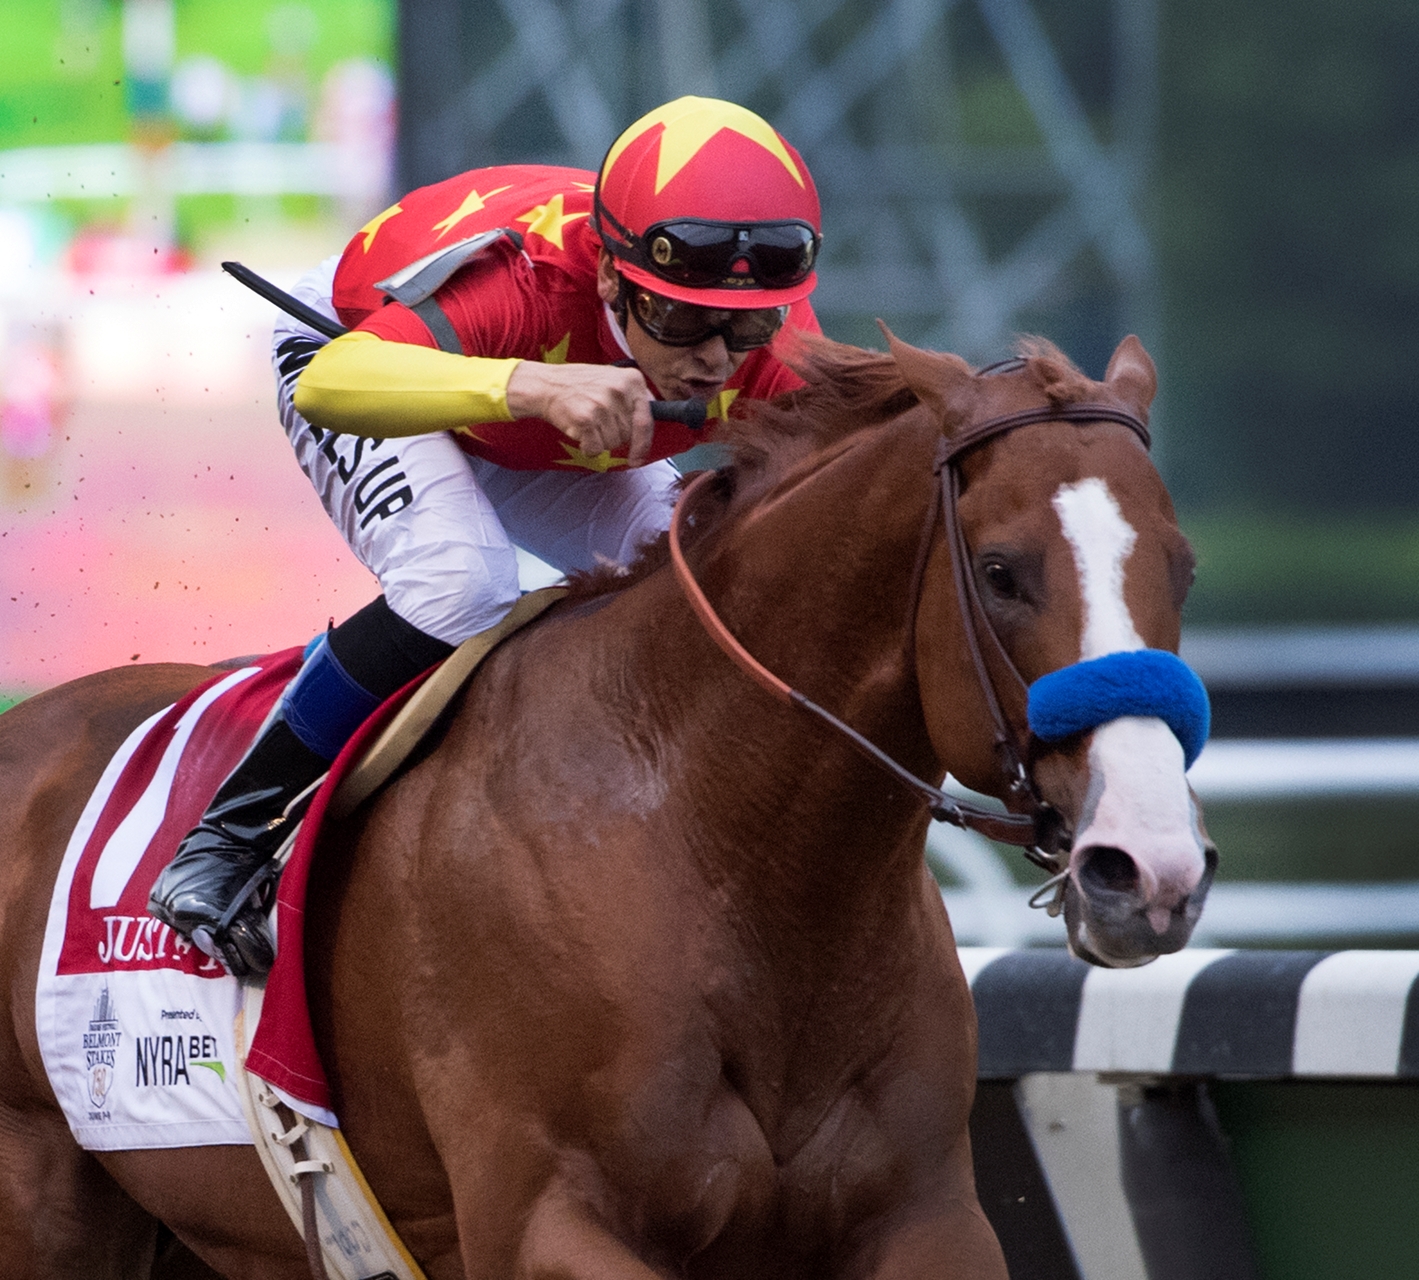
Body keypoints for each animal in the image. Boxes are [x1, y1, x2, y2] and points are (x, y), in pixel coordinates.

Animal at [0, 333, 1214, 1280]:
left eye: (1183, 566)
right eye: (1003, 571)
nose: (1148, 869)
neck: (715, 840)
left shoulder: (924, 1217)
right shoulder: (548, 1219)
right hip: (45, 1201)